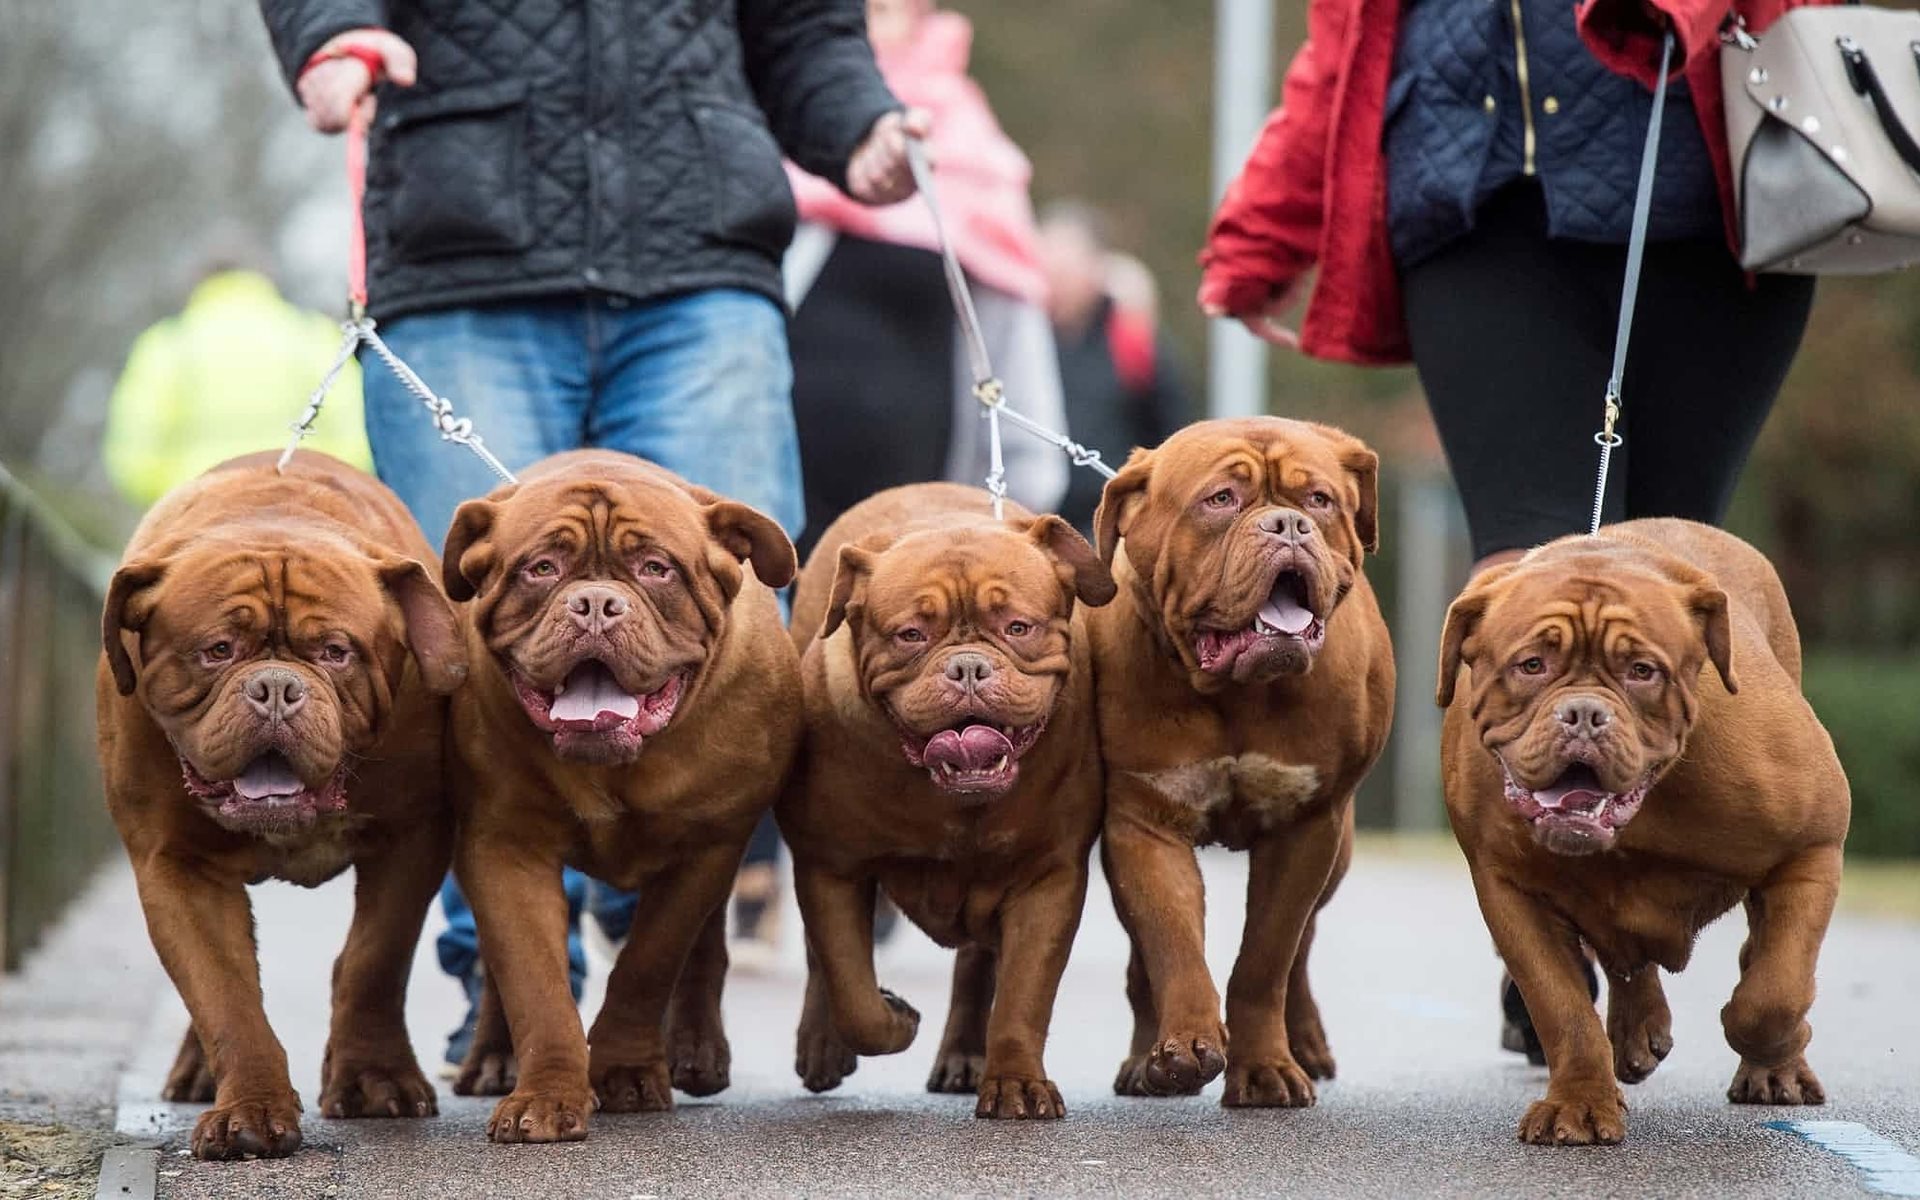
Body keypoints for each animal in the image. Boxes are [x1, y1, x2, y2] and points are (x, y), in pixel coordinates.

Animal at [98, 447, 468, 1152]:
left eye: (336, 652)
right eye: (218, 651)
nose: (275, 687)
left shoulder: (412, 839)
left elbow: (374, 960)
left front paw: (374, 1082)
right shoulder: (174, 865)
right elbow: (224, 993)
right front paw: (250, 1110)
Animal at [443, 449, 802, 1144]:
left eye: (655, 569)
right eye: (542, 568)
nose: (595, 603)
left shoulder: (705, 851)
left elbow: (650, 962)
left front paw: (628, 1072)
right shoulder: (503, 845)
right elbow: (533, 981)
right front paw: (547, 1094)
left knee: (703, 949)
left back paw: (696, 1050)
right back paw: (494, 1056)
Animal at [775, 481, 1113, 1121]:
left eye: (1018, 628)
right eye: (911, 635)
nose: (969, 666)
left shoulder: (1047, 878)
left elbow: (1026, 992)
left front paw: (1016, 1081)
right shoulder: (832, 866)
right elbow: (850, 986)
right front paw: (892, 1018)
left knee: (977, 963)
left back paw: (964, 1055)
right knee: (818, 963)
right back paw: (822, 1046)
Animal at [1090, 414, 1390, 1105]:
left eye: (1319, 500)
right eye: (1221, 499)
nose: (1286, 525)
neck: (1238, 692)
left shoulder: (1306, 826)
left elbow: (1267, 958)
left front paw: (1265, 1069)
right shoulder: (1144, 821)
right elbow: (1172, 941)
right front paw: (1183, 1047)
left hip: (1338, 850)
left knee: (1302, 947)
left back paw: (1306, 1044)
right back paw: (1142, 1061)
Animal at [1443, 514, 1843, 1144]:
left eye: (1642, 671)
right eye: (1531, 665)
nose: (1583, 713)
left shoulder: (1813, 849)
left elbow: (1773, 994)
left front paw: (1777, 1047)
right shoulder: (1510, 892)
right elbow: (1561, 1007)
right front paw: (1579, 1103)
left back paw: (1774, 1069)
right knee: (1623, 957)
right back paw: (1635, 1033)